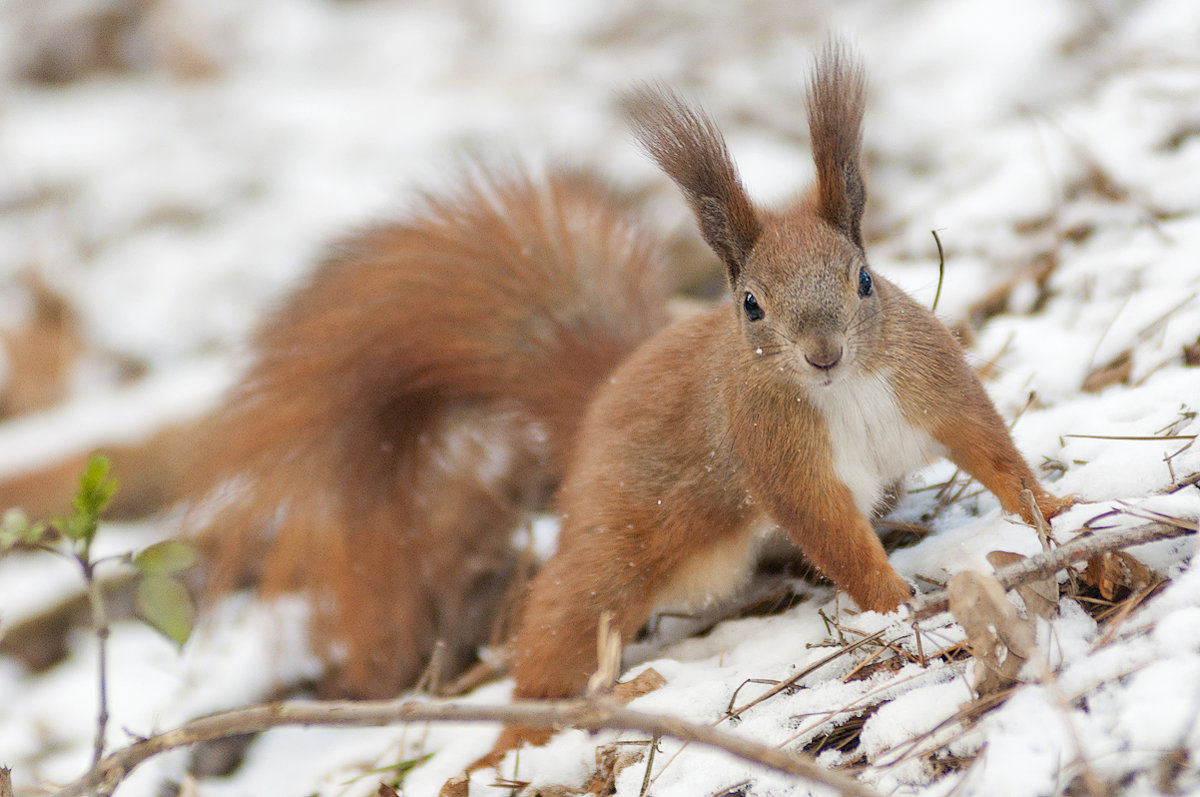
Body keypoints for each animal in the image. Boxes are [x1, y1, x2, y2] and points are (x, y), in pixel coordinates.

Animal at [0, 43, 1070, 705]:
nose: (824, 351)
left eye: (864, 278)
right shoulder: (775, 449)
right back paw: (579, 701)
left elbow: (984, 437)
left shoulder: (923, 375)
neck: (841, 395)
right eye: (751, 307)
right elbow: (831, 531)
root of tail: (598, 398)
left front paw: (1045, 510)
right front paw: (895, 602)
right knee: (555, 625)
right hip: (628, 528)